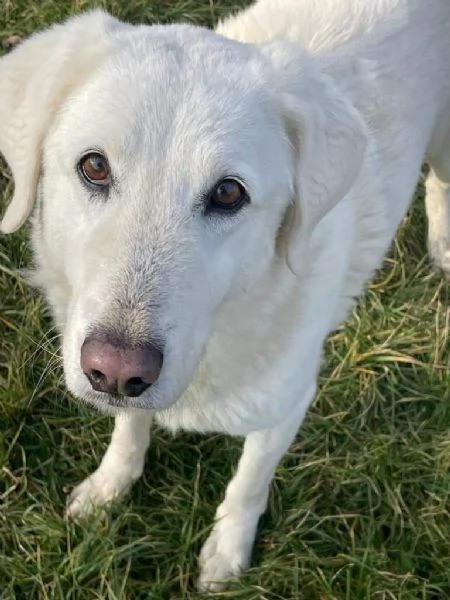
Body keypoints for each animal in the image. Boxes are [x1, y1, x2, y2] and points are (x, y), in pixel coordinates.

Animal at [0, 0, 450, 592]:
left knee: (440, 182)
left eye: (229, 194)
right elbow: (129, 428)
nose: (116, 372)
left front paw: (227, 554)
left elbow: (247, 485)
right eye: (94, 167)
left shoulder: (286, 409)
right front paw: (109, 486)